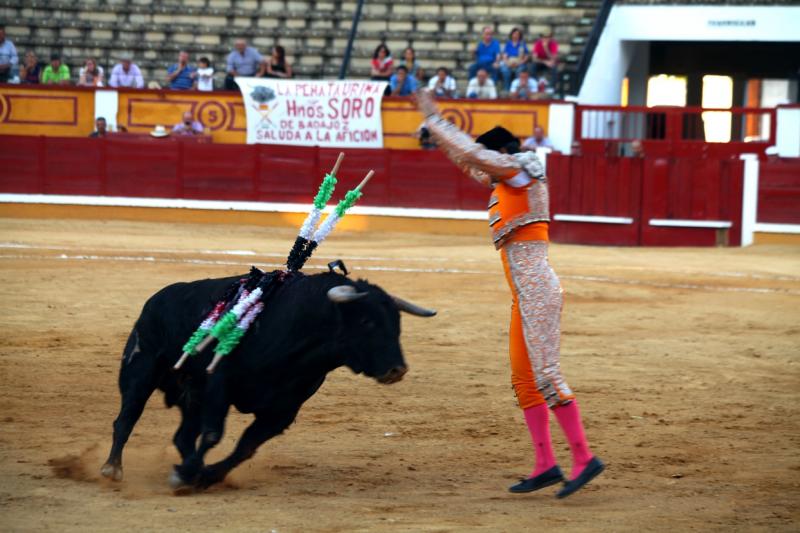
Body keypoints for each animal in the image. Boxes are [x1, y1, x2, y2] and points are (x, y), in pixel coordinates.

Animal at [101, 270, 438, 490]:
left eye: (398, 324)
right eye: (367, 322)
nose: (397, 369)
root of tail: (155, 299)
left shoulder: (283, 409)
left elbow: (246, 447)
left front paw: (204, 475)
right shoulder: (219, 387)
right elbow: (213, 435)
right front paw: (188, 475)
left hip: (191, 396)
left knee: (182, 436)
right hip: (140, 372)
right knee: (126, 419)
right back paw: (112, 468)